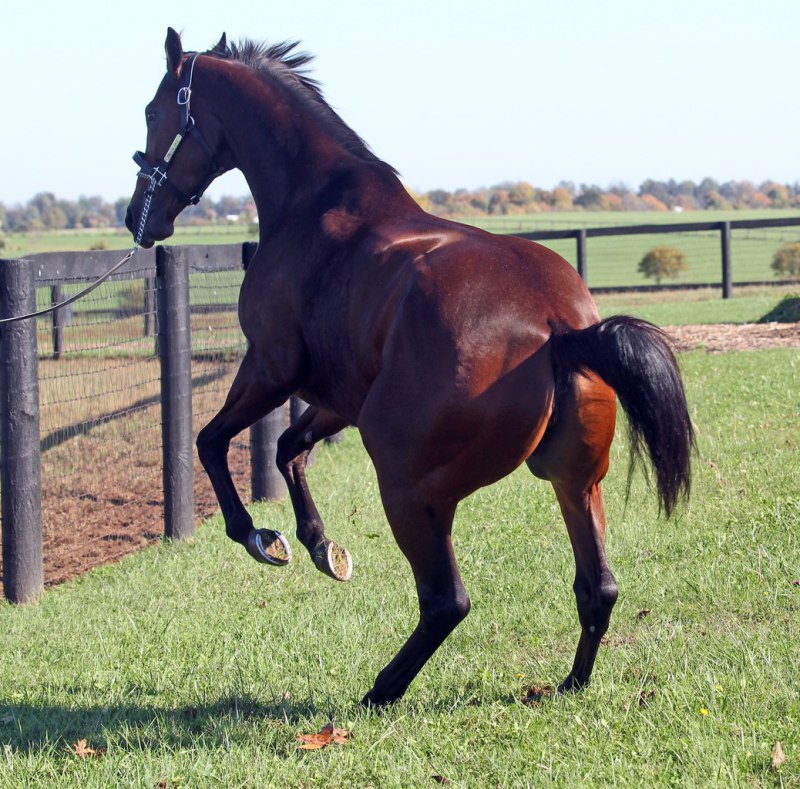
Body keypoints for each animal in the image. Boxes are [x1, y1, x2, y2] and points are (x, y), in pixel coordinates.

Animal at [125, 29, 692, 708]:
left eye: (155, 111)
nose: (138, 219)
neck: (316, 207)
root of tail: (559, 329)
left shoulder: (270, 367)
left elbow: (211, 442)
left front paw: (265, 540)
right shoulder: (337, 397)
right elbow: (289, 448)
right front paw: (322, 547)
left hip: (410, 487)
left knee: (447, 601)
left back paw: (380, 690)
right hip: (573, 481)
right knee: (597, 587)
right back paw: (567, 685)